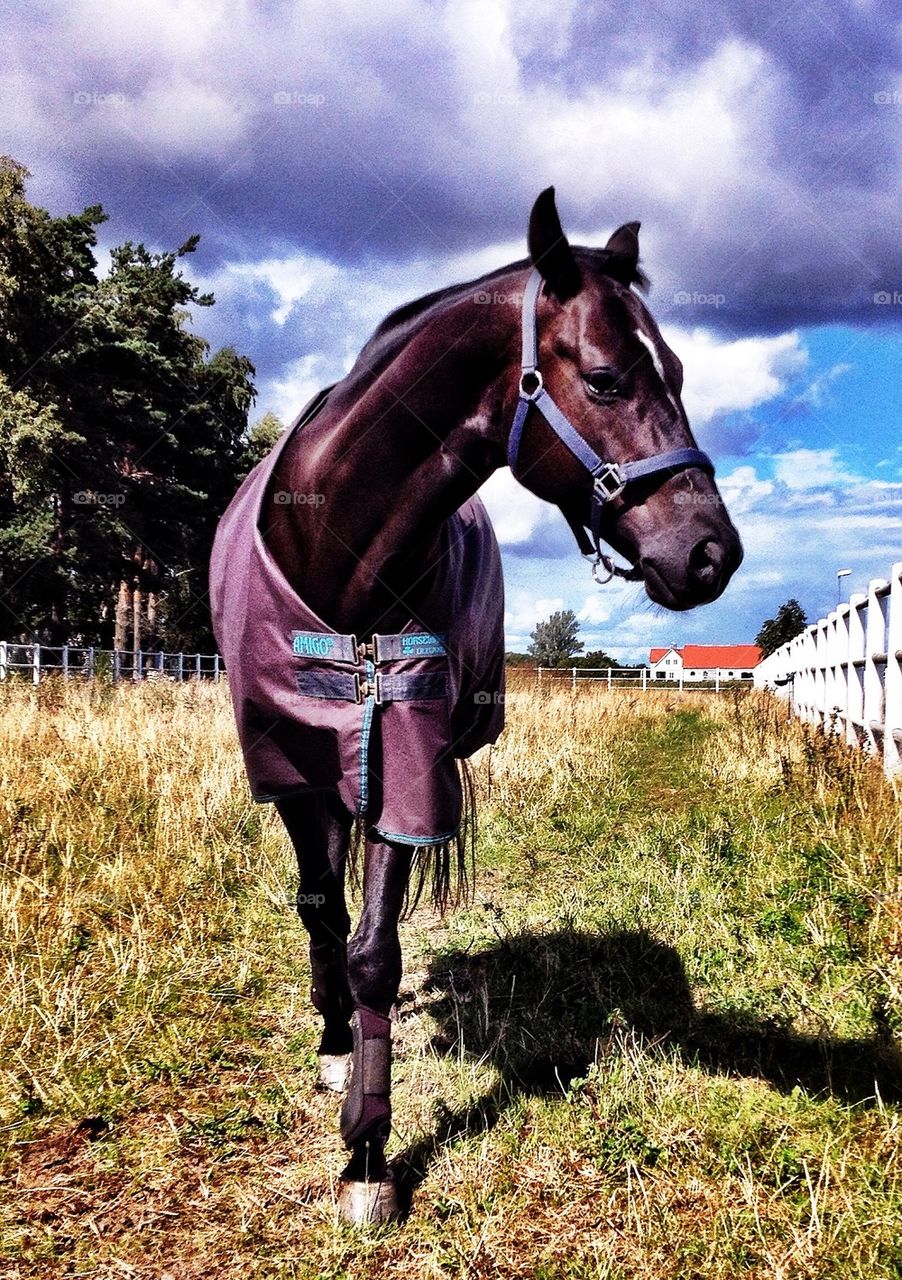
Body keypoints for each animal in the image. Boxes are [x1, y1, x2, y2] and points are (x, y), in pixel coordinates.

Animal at [209, 187, 743, 1223]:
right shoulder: (288, 760)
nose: (712, 553)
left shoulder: (402, 753)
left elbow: (375, 946)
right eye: (607, 379)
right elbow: (320, 908)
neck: (333, 545)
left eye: (679, 373)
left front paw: (366, 1152)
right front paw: (343, 1073)